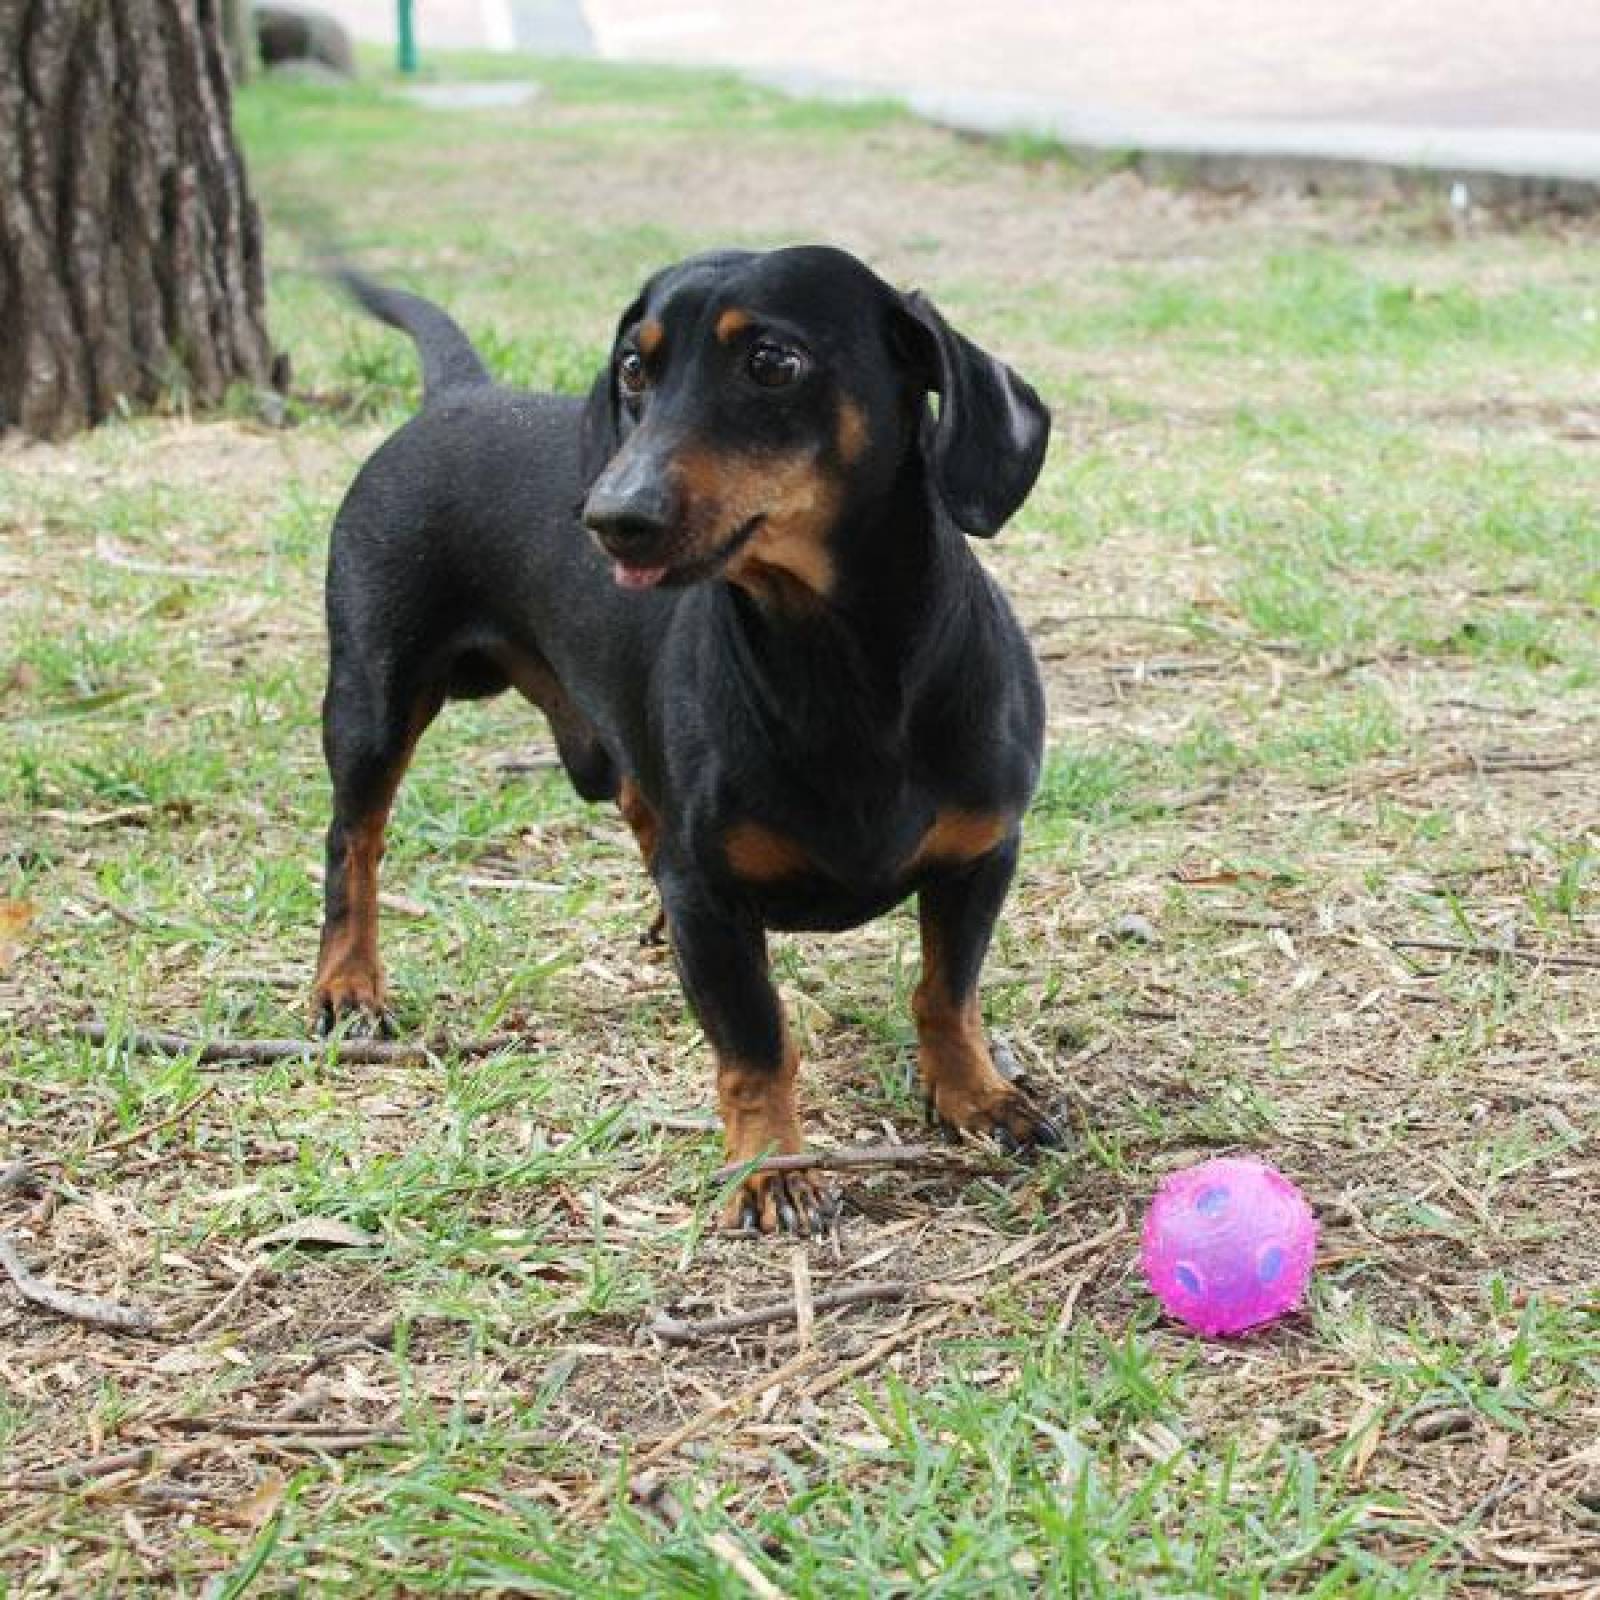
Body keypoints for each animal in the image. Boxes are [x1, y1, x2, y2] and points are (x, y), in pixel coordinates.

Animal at [313, 243, 1062, 1228]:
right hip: (372, 698)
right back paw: (346, 984)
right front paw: (774, 1166)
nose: (610, 517)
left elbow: (947, 990)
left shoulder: (981, 854)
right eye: (635, 368)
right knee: (354, 842)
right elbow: (754, 1039)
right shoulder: (709, 892)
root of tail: (459, 394)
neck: (840, 669)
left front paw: (976, 1096)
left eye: (773, 363)